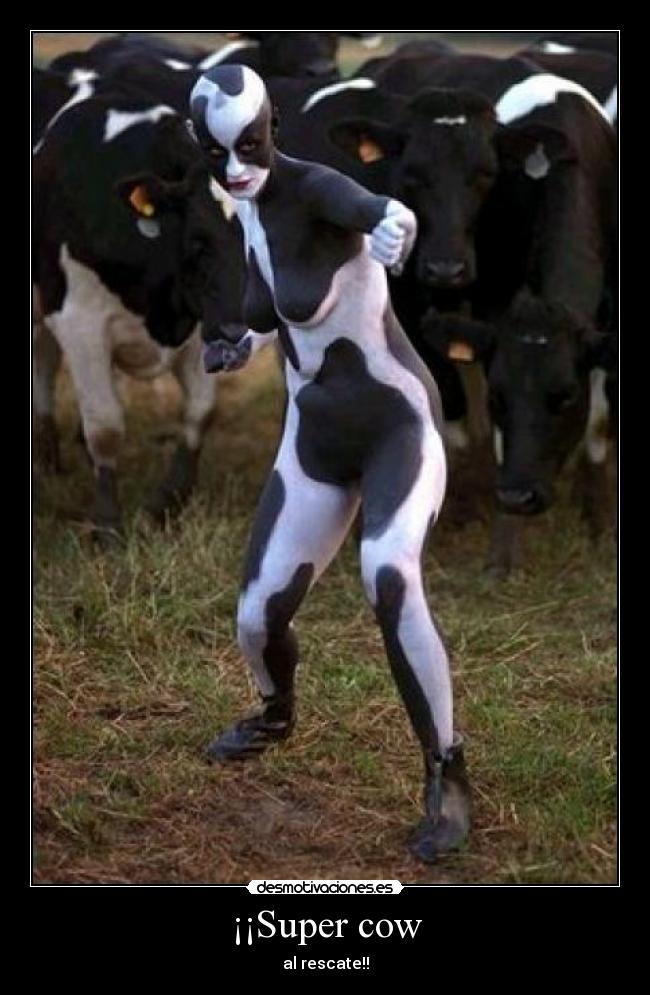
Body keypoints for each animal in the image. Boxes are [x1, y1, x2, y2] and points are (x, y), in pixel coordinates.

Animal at [33, 80, 246, 542]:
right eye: (198, 240)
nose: (241, 330)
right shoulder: (80, 323)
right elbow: (106, 425)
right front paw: (108, 526)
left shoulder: (201, 326)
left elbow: (200, 412)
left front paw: (167, 502)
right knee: (43, 363)